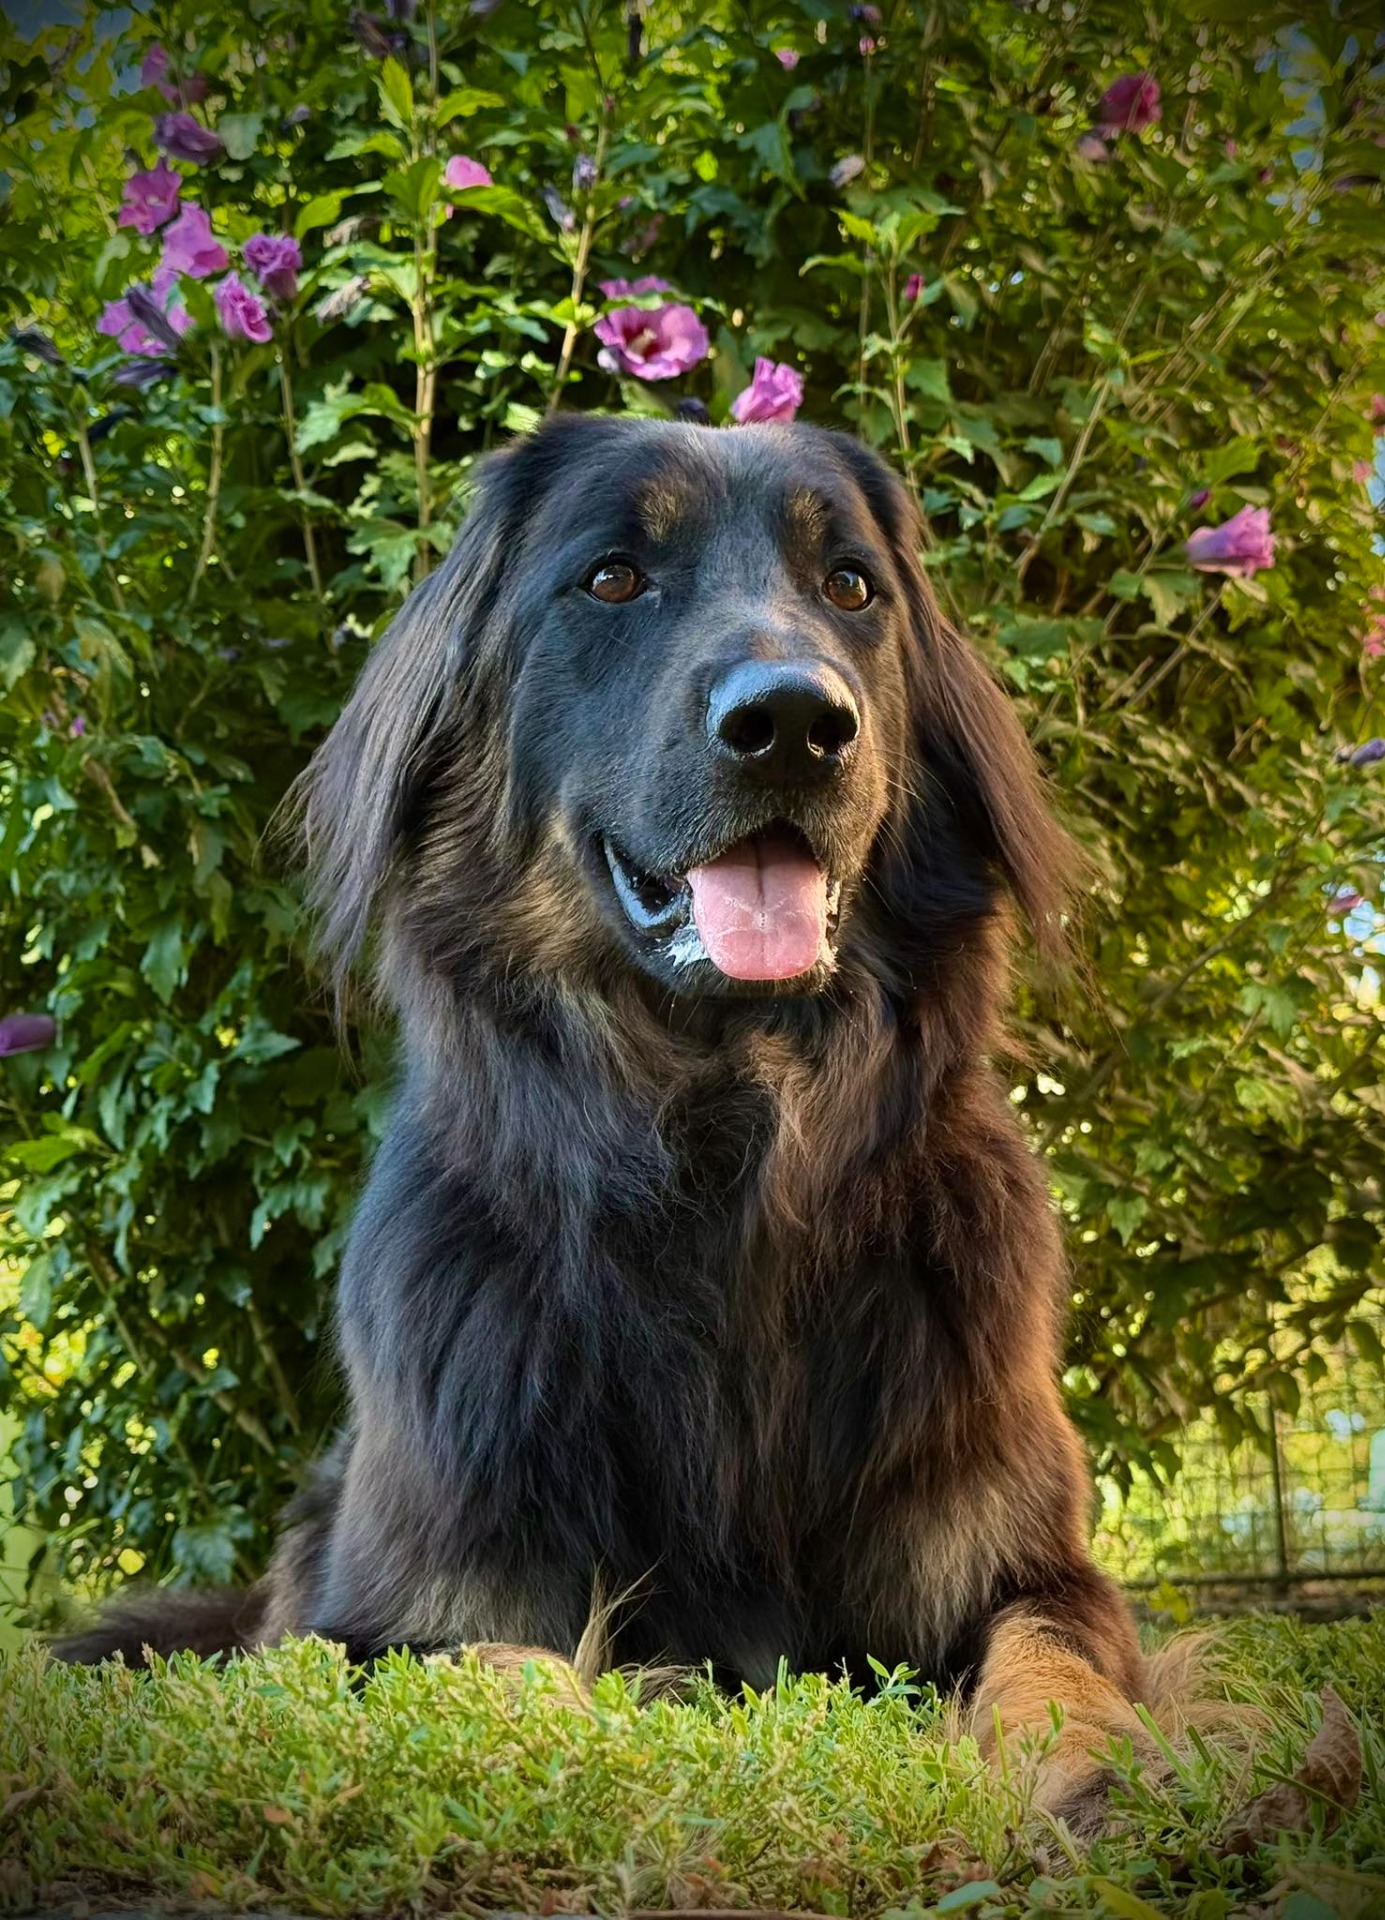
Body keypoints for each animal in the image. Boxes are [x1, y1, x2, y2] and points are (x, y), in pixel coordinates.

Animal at [57, 414, 1154, 1826]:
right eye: (614, 579)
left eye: (850, 588)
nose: (793, 723)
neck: (720, 1157)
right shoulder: (382, 1621)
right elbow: (497, 1671)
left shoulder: (1021, 1562)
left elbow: (1052, 1661)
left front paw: (1103, 1774)